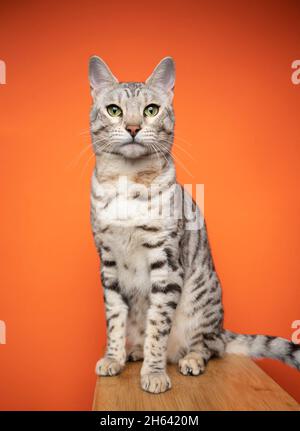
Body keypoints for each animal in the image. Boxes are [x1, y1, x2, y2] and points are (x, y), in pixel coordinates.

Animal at [89, 56, 300, 394]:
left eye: (151, 110)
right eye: (114, 110)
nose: (133, 127)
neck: (127, 181)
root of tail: (222, 327)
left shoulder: (166, 261)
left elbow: (158, 327)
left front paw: (154, 373)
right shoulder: (107, 262)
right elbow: (115, 318)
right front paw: (113, 357)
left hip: (202, 302)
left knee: (211, 346)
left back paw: (190, 360)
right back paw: (133, 352)